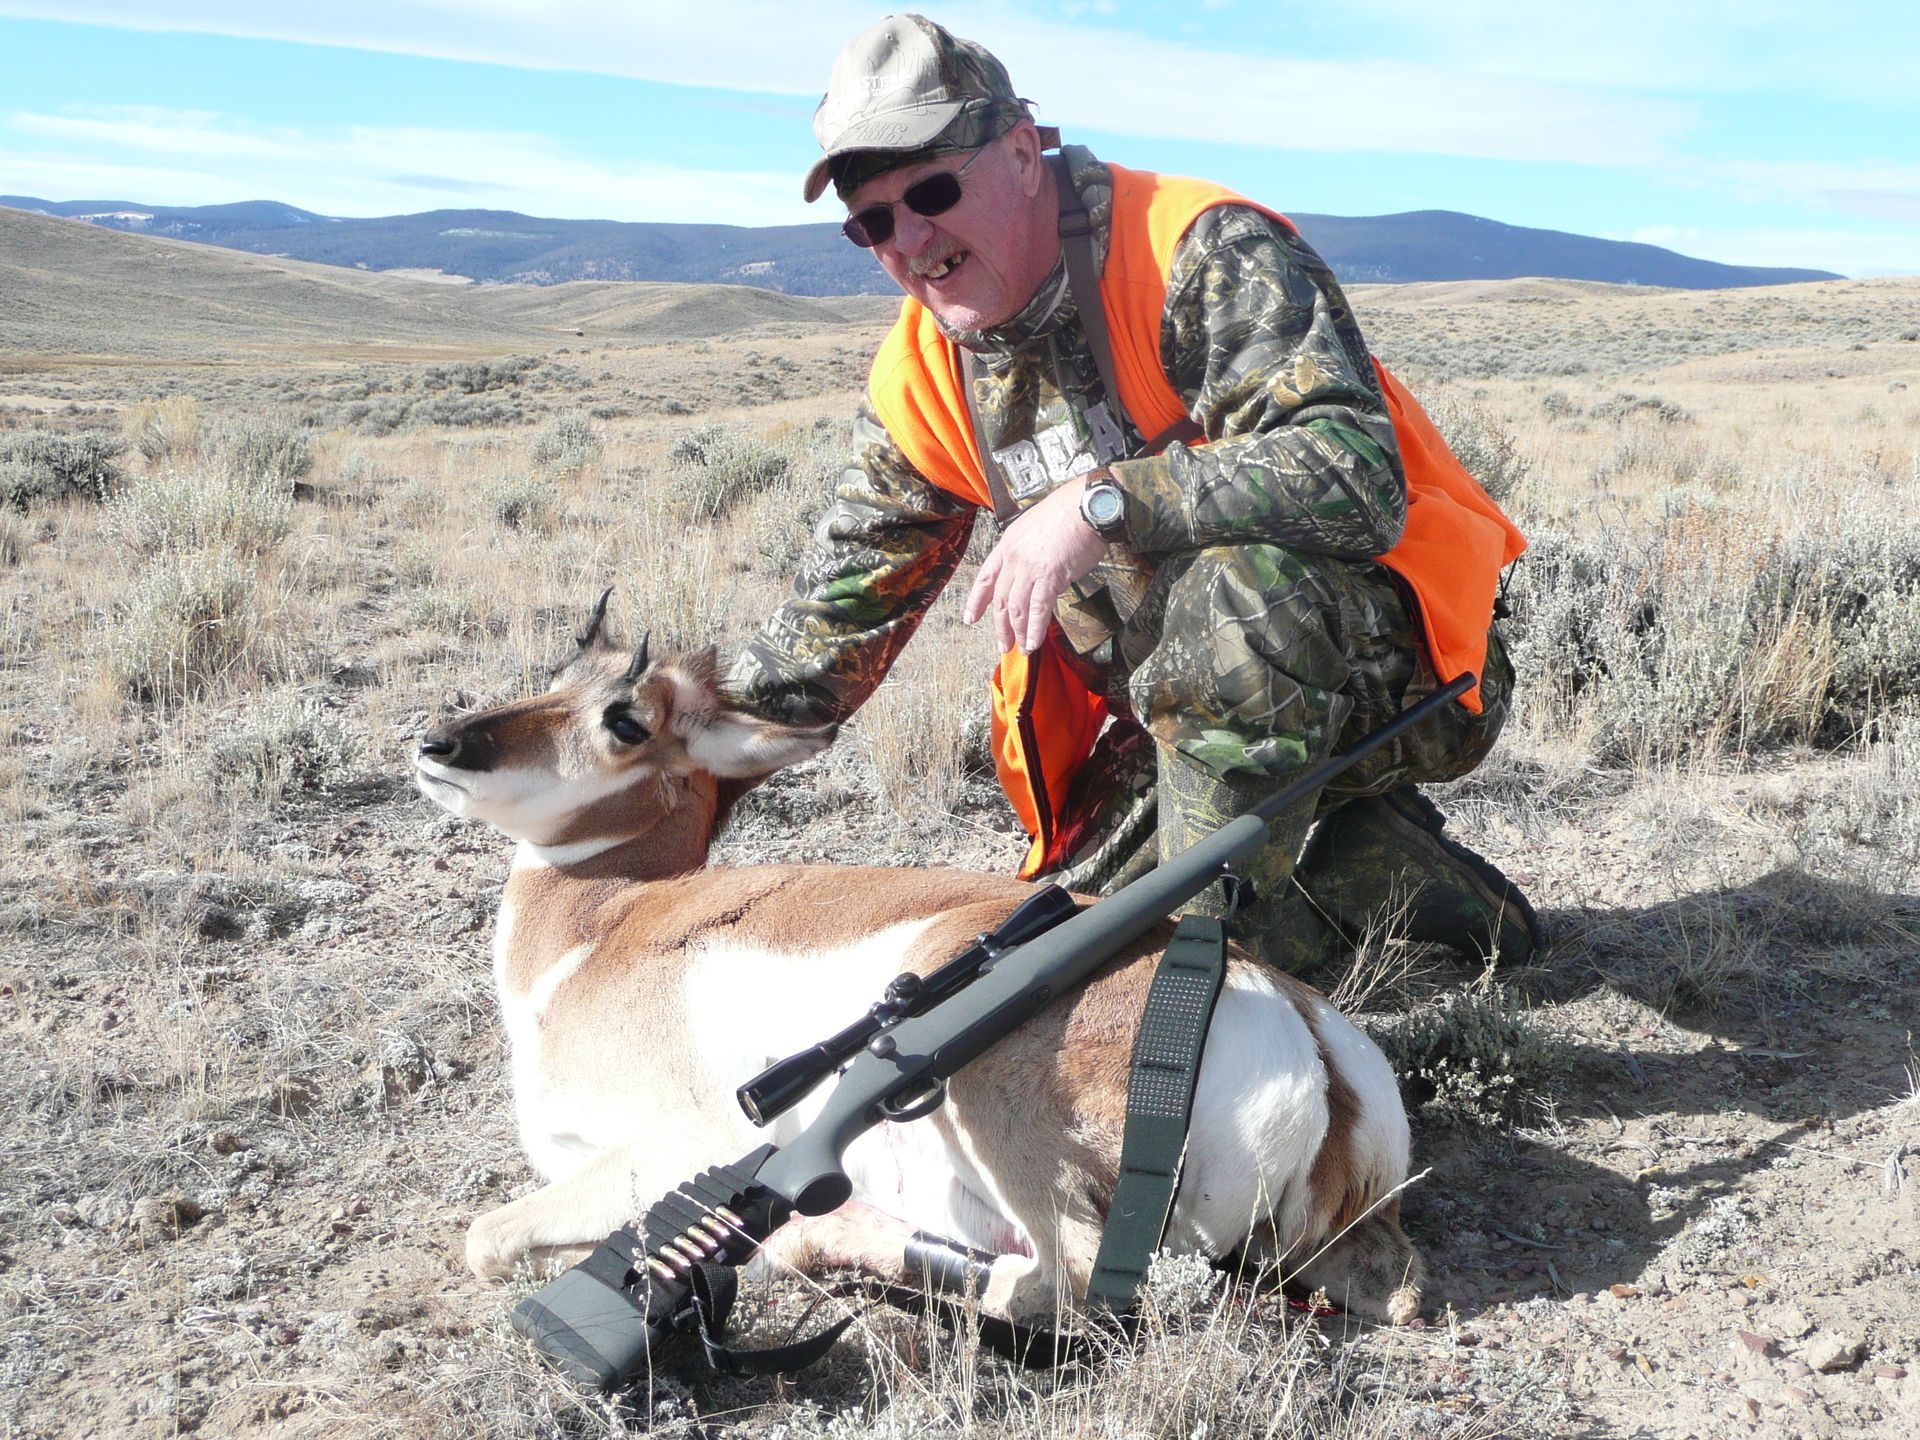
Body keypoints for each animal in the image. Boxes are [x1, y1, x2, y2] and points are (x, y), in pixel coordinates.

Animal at [413, 597, 1424, 1326]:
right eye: (558, 675)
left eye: (623, 718)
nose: (438, 744)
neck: (612, 923)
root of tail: (1302, 1028)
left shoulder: (687, 1144)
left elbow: (484, 1237)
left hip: (984, 1106)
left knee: (1057, 1279)